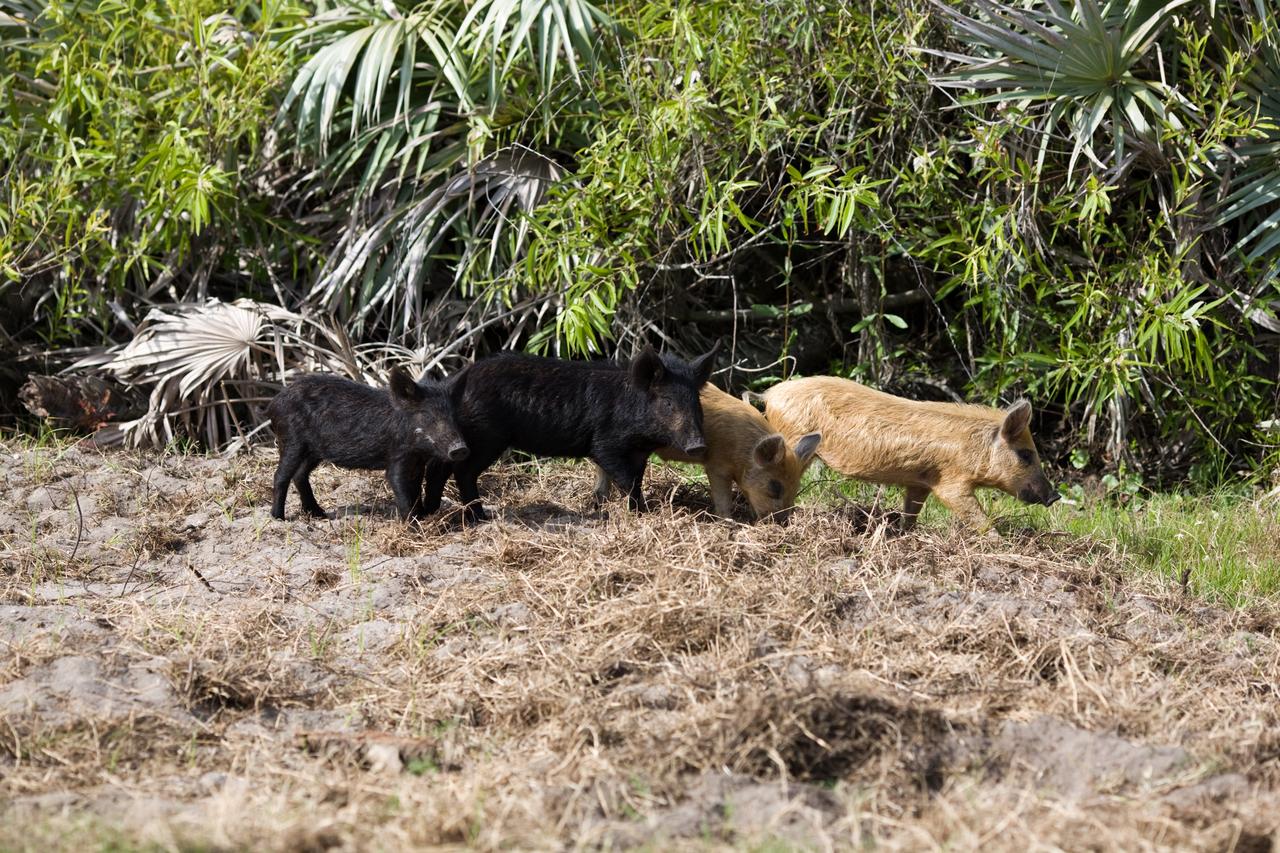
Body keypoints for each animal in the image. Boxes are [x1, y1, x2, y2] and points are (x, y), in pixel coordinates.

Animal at [266, 367, 468, 521]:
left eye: (453, 416)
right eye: (427, 415)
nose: (460, 448)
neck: (417, 451)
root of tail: (273, 403)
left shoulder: (417, 464)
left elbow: (416, 490)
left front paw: (422, 517)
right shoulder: (397, 457)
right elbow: (399, 487)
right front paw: (412, 525)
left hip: (313, 451)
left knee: (300, 475)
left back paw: (319, 514)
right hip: (291, 441)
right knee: (280, 476)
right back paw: (278, 518)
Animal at [422, 345, 718, 522]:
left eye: (696, 401)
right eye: (667, 403)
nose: (698, 445)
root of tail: (453, 383)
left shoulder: (637, 453)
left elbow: (623, 479)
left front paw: (603, 507)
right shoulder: (605, 443)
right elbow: (628, 480)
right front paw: (641, 513)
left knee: (441, 467)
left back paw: (432, 511)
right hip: (486, 436)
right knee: (463, 471)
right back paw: (480, 517)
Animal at [594, 384, 822, 522]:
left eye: (796, 488)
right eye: (775, 487)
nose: (782, 522)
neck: (743, 450)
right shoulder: (716, 465)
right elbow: (722, 498)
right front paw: (728, 521)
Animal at [760, 376, 1058, 530]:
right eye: (1026, 455)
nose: (1055, 496)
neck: (972, 448)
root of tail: (770, 394)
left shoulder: (920, 481)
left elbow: (912, 510)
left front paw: (905, 533)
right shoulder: (950, 481)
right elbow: (974, 514)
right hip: (793, 437)